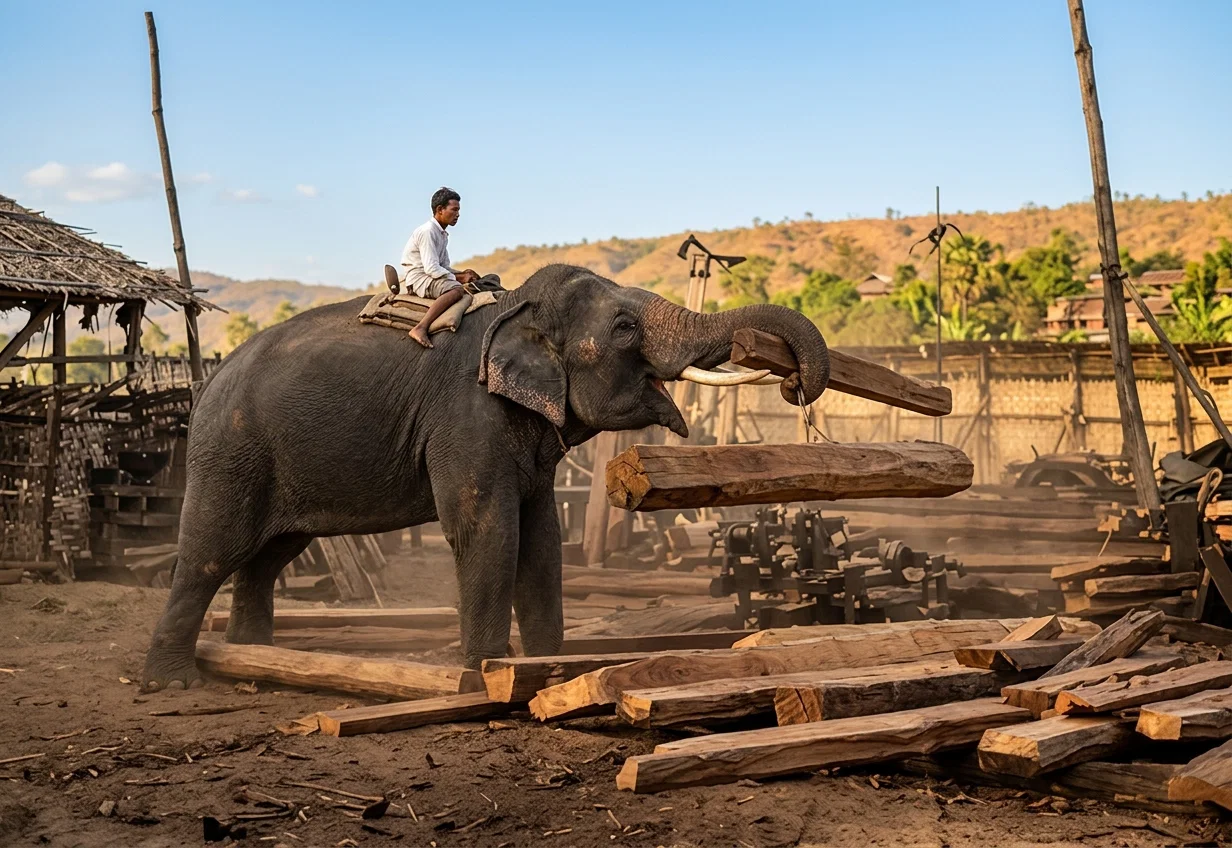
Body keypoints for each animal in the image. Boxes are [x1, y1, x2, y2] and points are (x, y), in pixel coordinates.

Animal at [141, 263, 830, 690]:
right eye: (625, 327)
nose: (793, 380)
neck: (516, 309)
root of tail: (205, 381)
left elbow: (543, 539)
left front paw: (553, 672)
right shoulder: (466, 416)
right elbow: (488, 530)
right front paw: (483, 680)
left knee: (268, 557)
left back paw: (253, 658)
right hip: (230, 450)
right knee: (210, 551)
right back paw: (173, 680)